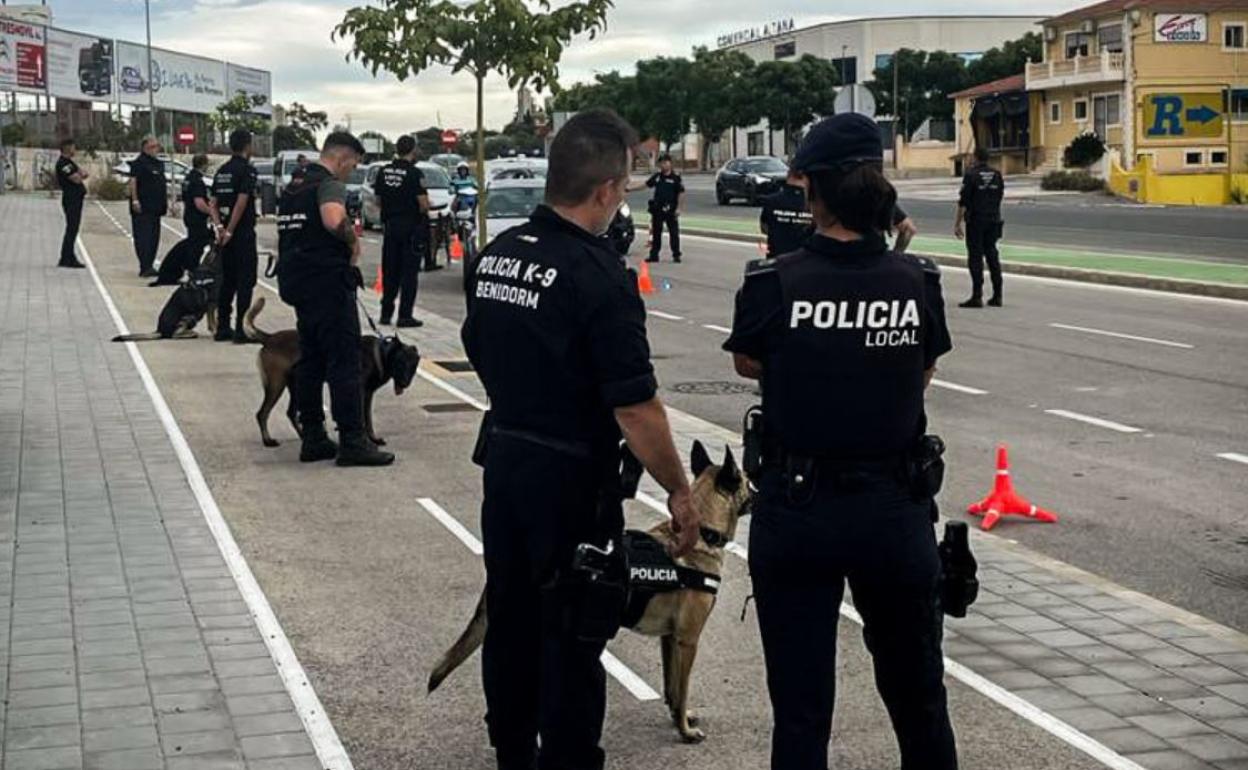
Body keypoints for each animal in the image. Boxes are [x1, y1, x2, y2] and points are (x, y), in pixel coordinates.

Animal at [240, 297, 421, 446]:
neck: (382, 354)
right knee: (262, 413)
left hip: (296, 386)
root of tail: (269, 338)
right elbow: (364, 419)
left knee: (290, 413)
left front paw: (370, 438)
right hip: (277, 385)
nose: (405, 383)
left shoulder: (367, 394)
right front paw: (368, 439)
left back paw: (304, 437)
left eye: (412, 366)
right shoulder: (361, 392)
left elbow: (366, 419)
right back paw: (268, 440)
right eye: (400, 363)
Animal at [426, 441, 748, 743]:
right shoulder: (687, 641)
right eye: (749, 482)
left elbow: (672, 688)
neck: (703, 531)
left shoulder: (668, 639)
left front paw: (678, 717)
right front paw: (685, 731)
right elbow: (682, 689)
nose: (759, 487)